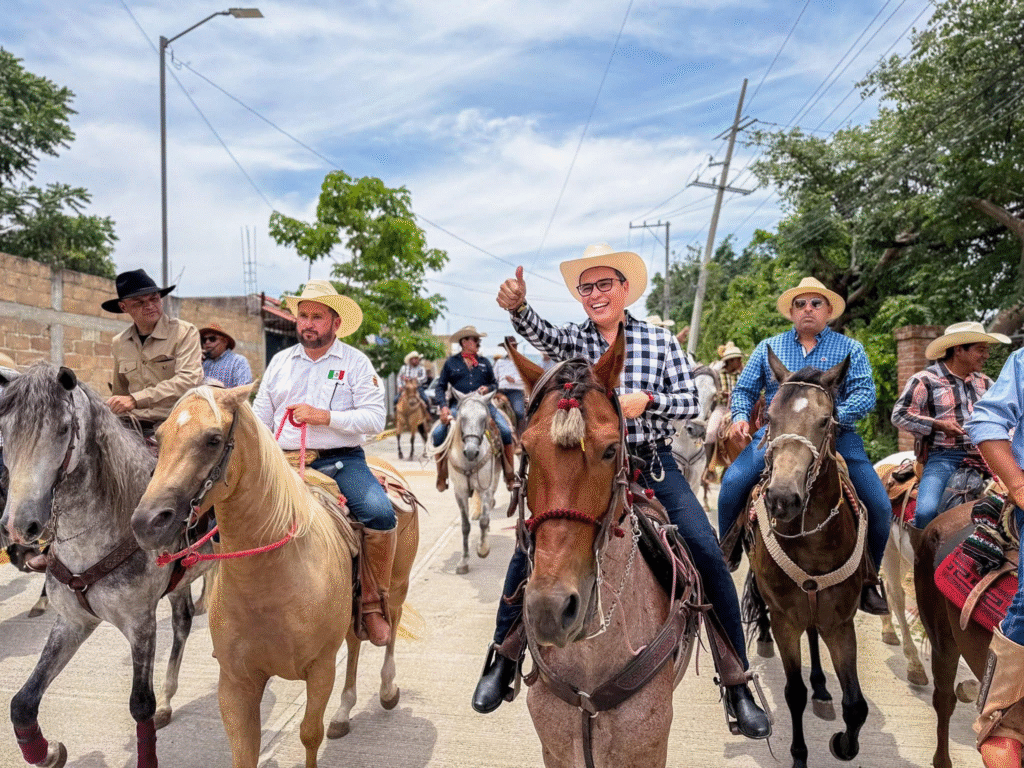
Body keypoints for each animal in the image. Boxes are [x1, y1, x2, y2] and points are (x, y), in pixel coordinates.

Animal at [0, 362, 211, 768]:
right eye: (4, 431)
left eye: (63, 428)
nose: (21, 525)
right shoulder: (73, 621)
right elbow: (22, 704)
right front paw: (49, 752)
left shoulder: (141, 623)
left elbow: (141, 706)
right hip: (179, 583)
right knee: (183, 621)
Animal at [130, 384, 419, 768]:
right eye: (158, 438)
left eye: (213, 439)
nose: (146, 522)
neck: (270, 581)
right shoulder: (236, 683)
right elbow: (245, 751)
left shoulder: (320, 669)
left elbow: (310, 734)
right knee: (355, 642)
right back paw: (343, 713)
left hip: (397, 586)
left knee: (389, 625)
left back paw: (387, 689)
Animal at [437, 387, 499, 575]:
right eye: (462, 418)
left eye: (483, 418)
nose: (471, 451)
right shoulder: (460, 492)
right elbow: (465, 526)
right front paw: (464, 561)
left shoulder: (485, 489)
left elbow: (485, 519)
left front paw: (483, 549)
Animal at [748, 350, 869, 768]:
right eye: (769, 417)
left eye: (825, 420)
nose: (782, 498)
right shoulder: (786, 621)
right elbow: (793, 693)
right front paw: (800, 756)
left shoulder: (840, 623)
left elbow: (856, 705)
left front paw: (843, 744)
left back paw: (821, 688)